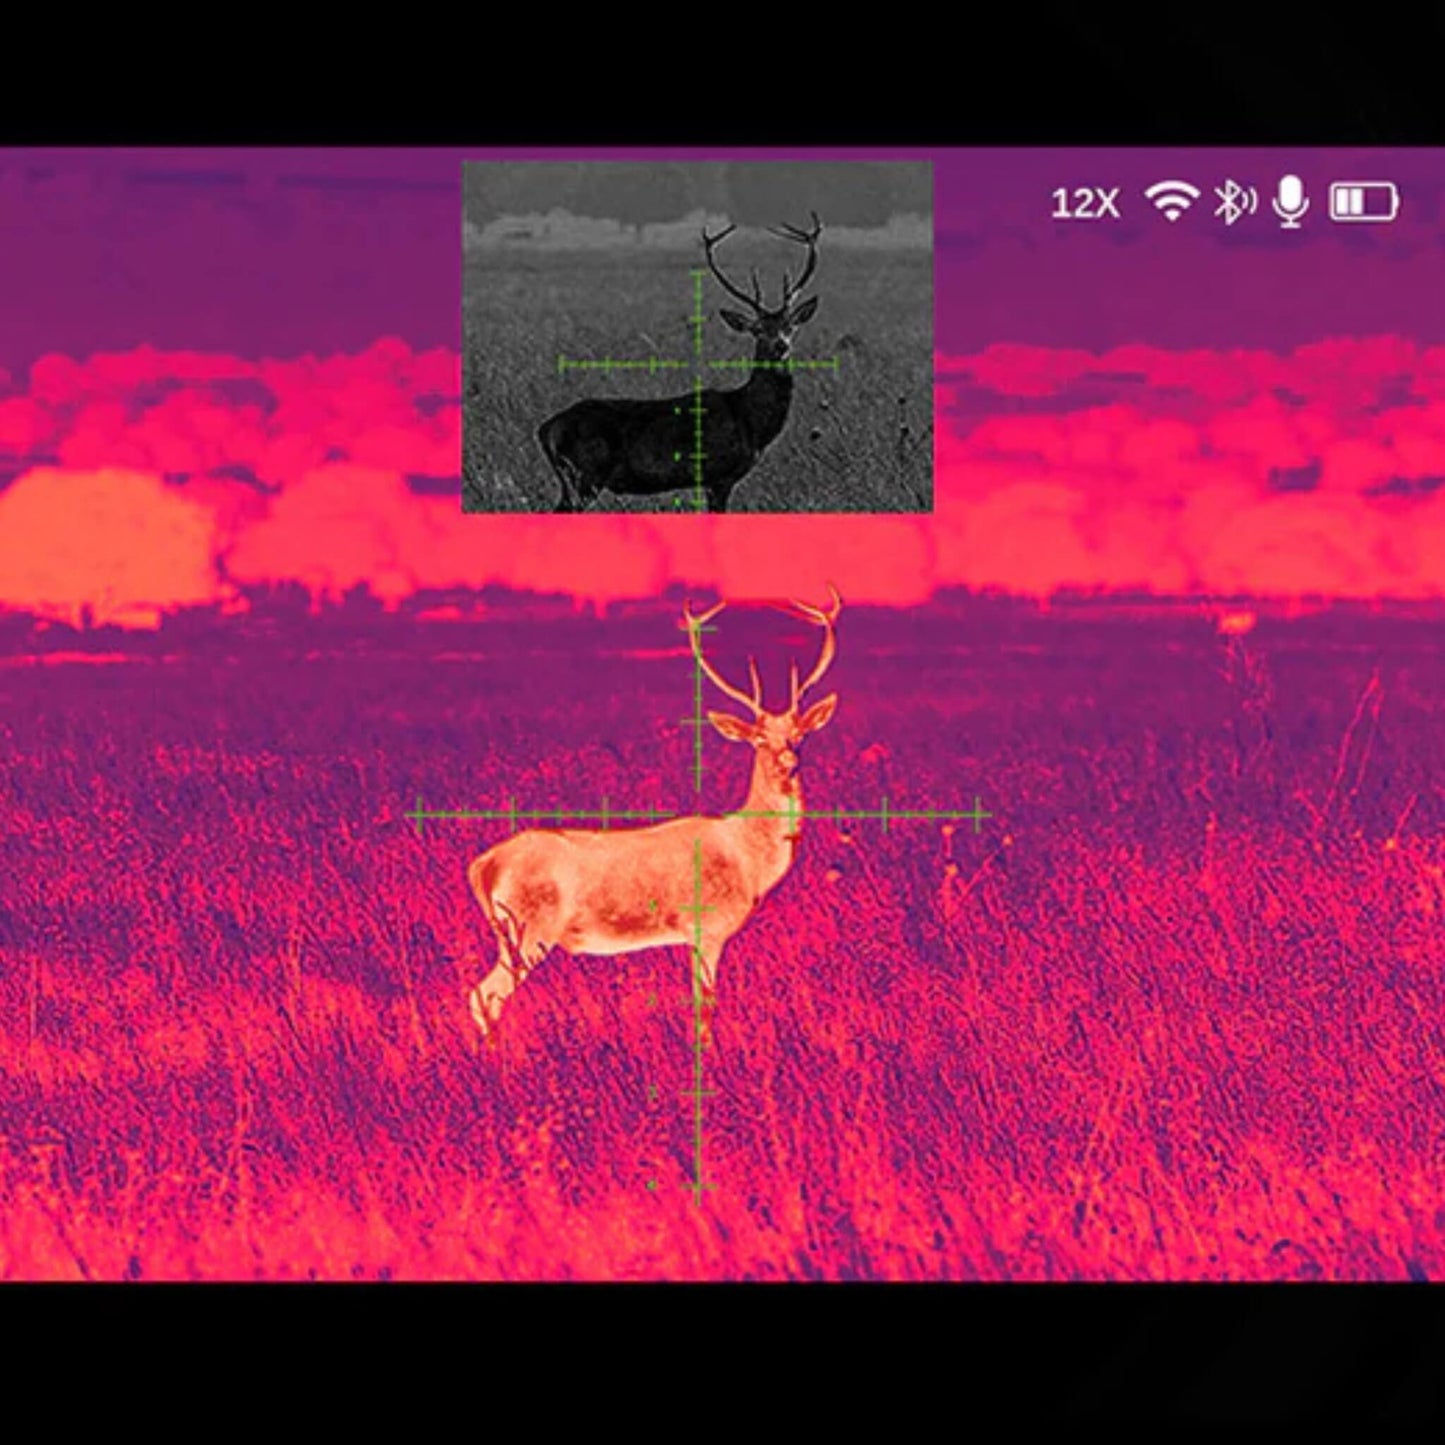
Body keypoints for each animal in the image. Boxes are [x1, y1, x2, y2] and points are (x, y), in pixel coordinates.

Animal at [466, 584, 842, 1042]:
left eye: (800, 735)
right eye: (758, 740)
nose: (788, 764)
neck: (748, 862)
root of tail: (483, 865)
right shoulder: (707, 928)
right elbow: (704, 1008)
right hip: (527, 929)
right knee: (484, 995)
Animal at [537, 214, 823, 514]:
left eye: (790, 326)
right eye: (757, 330)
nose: (781, 346)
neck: (750, 421)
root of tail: (545, 429)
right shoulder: (717, 474)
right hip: (585, 475)